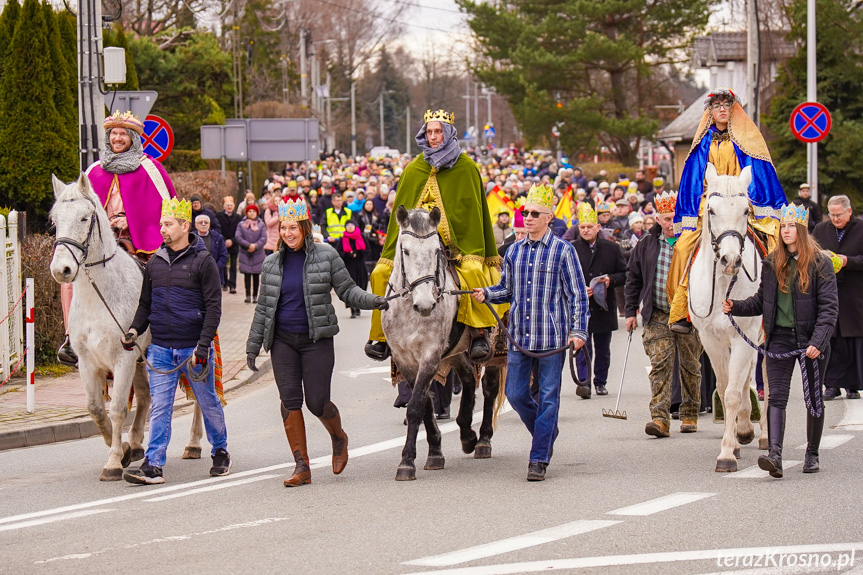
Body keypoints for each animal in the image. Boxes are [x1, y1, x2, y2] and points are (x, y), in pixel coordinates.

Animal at [50, 176, 204, 482]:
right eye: (55, 221)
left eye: (84, 218)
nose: (61, 270)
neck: (99, 296)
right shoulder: (89, 363)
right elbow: (96, 410)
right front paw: (121, 449)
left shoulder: (123, 359)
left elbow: (119, 409)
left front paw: (113, 462)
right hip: (143, 359)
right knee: (145, 397)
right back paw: (134, 444)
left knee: (200, 393)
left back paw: (193, 443)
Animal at [688, 165, 768, 472]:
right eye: (711, 210)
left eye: (746, 210)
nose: (730, 260)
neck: (724, 283)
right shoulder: (711, 340)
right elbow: (724, 389)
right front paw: (731, 444)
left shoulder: (744, 336)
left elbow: (734, 392)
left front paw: (726, 454)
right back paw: (742, 432)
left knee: (764, 386)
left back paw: (761, 435)